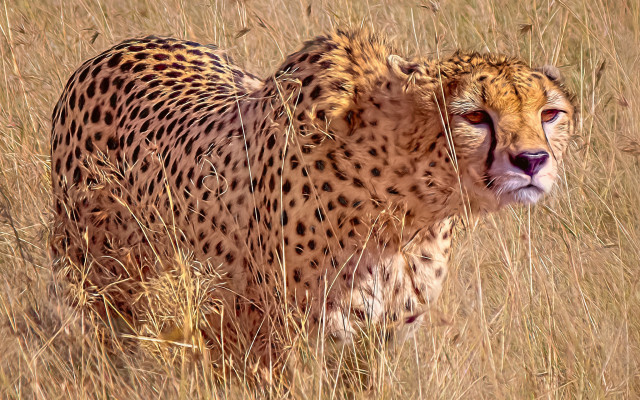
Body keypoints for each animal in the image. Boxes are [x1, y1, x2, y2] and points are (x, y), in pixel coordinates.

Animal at [50, 29, 575, 367]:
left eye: (550, 114)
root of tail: (117, 48)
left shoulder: (373, 345)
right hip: (104, 279)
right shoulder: (271, 341)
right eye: (475, 117)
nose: (532, 160)